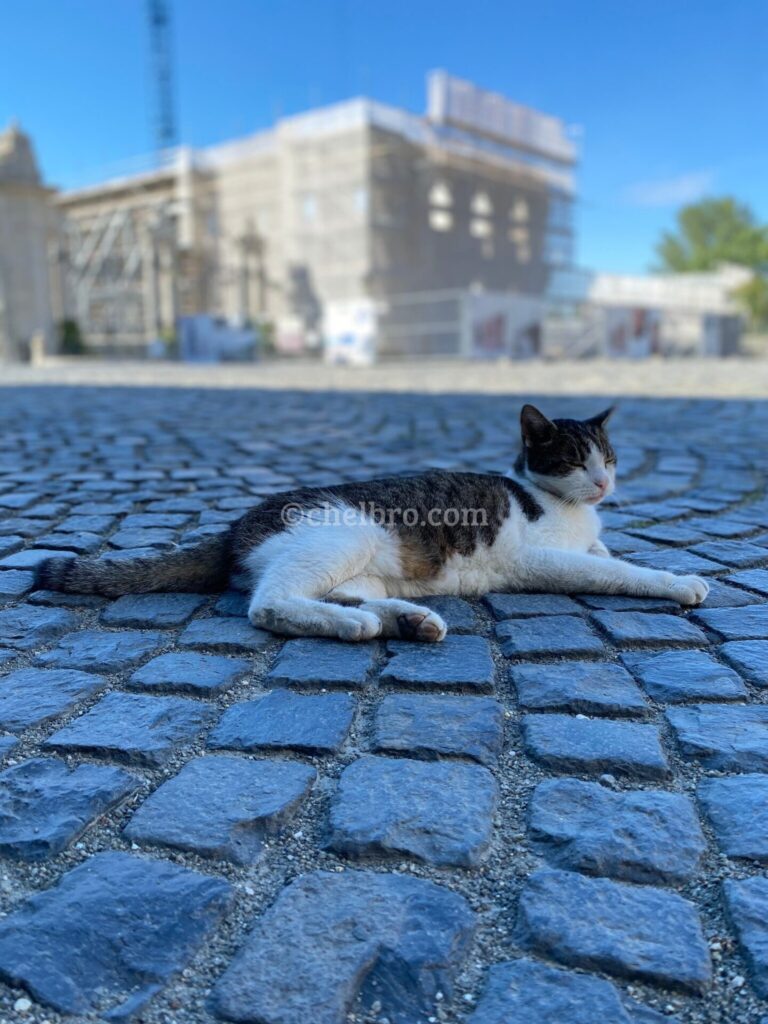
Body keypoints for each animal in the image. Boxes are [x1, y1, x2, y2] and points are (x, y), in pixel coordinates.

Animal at [36, 403, 708, 643]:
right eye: (573, 460)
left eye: (609, 458)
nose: (604, 483)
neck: (566, 509)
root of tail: (234, 528)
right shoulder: (538, 558)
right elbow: (623, 573)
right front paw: (677, 581)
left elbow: (607, 557)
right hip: (344, 534)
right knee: (269, 604)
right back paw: (358, 627)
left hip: (367, 566)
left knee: (345, 594)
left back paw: (406, 621)